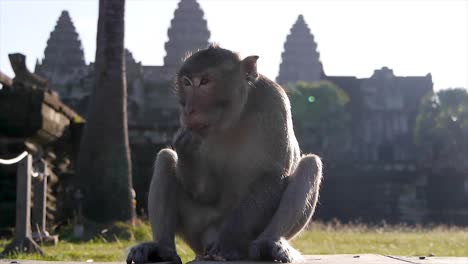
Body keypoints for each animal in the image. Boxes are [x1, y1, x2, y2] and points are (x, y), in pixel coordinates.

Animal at [126, 44, 324, 262]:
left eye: (205, 82)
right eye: (187, 82)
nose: (188, 109)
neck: (235, 118)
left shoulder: (274, 101)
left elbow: (273, 174)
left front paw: (228, 240)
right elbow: (206, 193)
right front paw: (186, 149)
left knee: (310, 164)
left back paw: (269, 244)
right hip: (198, 233)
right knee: (165, 159)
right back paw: (162, 249)